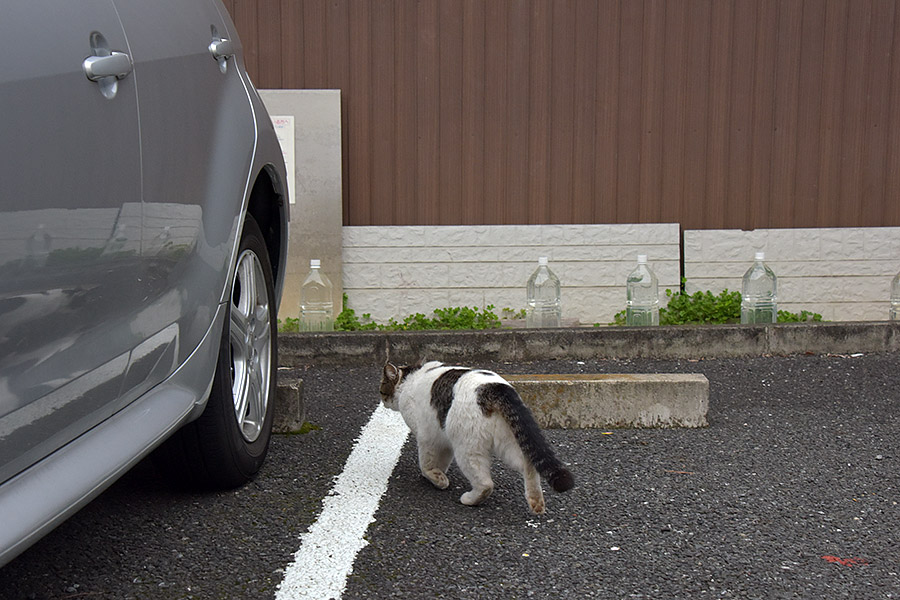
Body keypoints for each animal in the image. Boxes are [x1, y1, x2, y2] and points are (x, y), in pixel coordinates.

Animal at [376, 358, 572, 512]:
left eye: (381, 390)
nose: (382, 401)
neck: (409, 379)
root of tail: (494, 388)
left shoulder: (427, 437)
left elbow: (427, 464)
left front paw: (436, 478)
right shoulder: (443, 438)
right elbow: (441, 460)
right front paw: (441, 474)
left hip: (468, 450)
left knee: (486, 484)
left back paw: (470, 499)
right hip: (507, 442)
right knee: (529, 464)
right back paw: (536, 502)